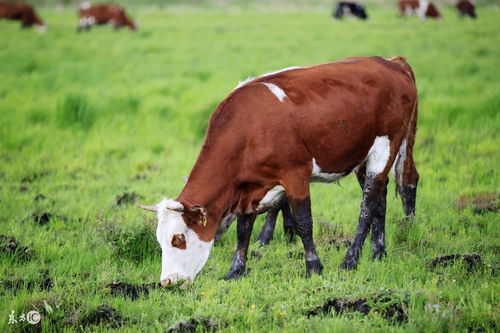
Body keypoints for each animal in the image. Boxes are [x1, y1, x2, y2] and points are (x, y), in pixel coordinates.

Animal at [140, 55, 418, 284]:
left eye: (178, 239)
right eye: (160, 240)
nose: (167, 281)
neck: (251, 126)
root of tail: (391, 62)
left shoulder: (295, 175)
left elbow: (304, 222)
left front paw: (314, 267)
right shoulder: (249, 187)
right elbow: (243, 230)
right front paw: (235, 271)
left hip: (386, 145)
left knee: (369, 204)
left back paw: (350, 259)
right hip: (364, 155)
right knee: (380, 197)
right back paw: (378, 252)